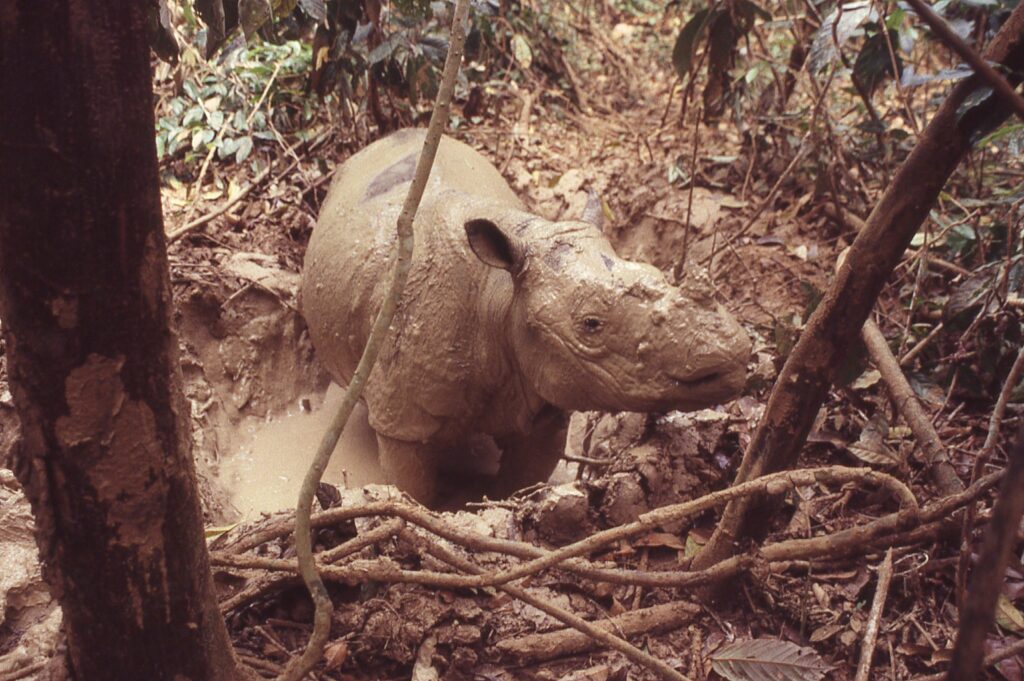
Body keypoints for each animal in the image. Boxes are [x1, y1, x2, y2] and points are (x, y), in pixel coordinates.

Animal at [302, 128, 751, 504]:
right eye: (590, 325)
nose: (729, 359)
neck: (501, 294)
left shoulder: (546, 395)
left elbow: (522, 479)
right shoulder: (404, 421)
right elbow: (413, 489)